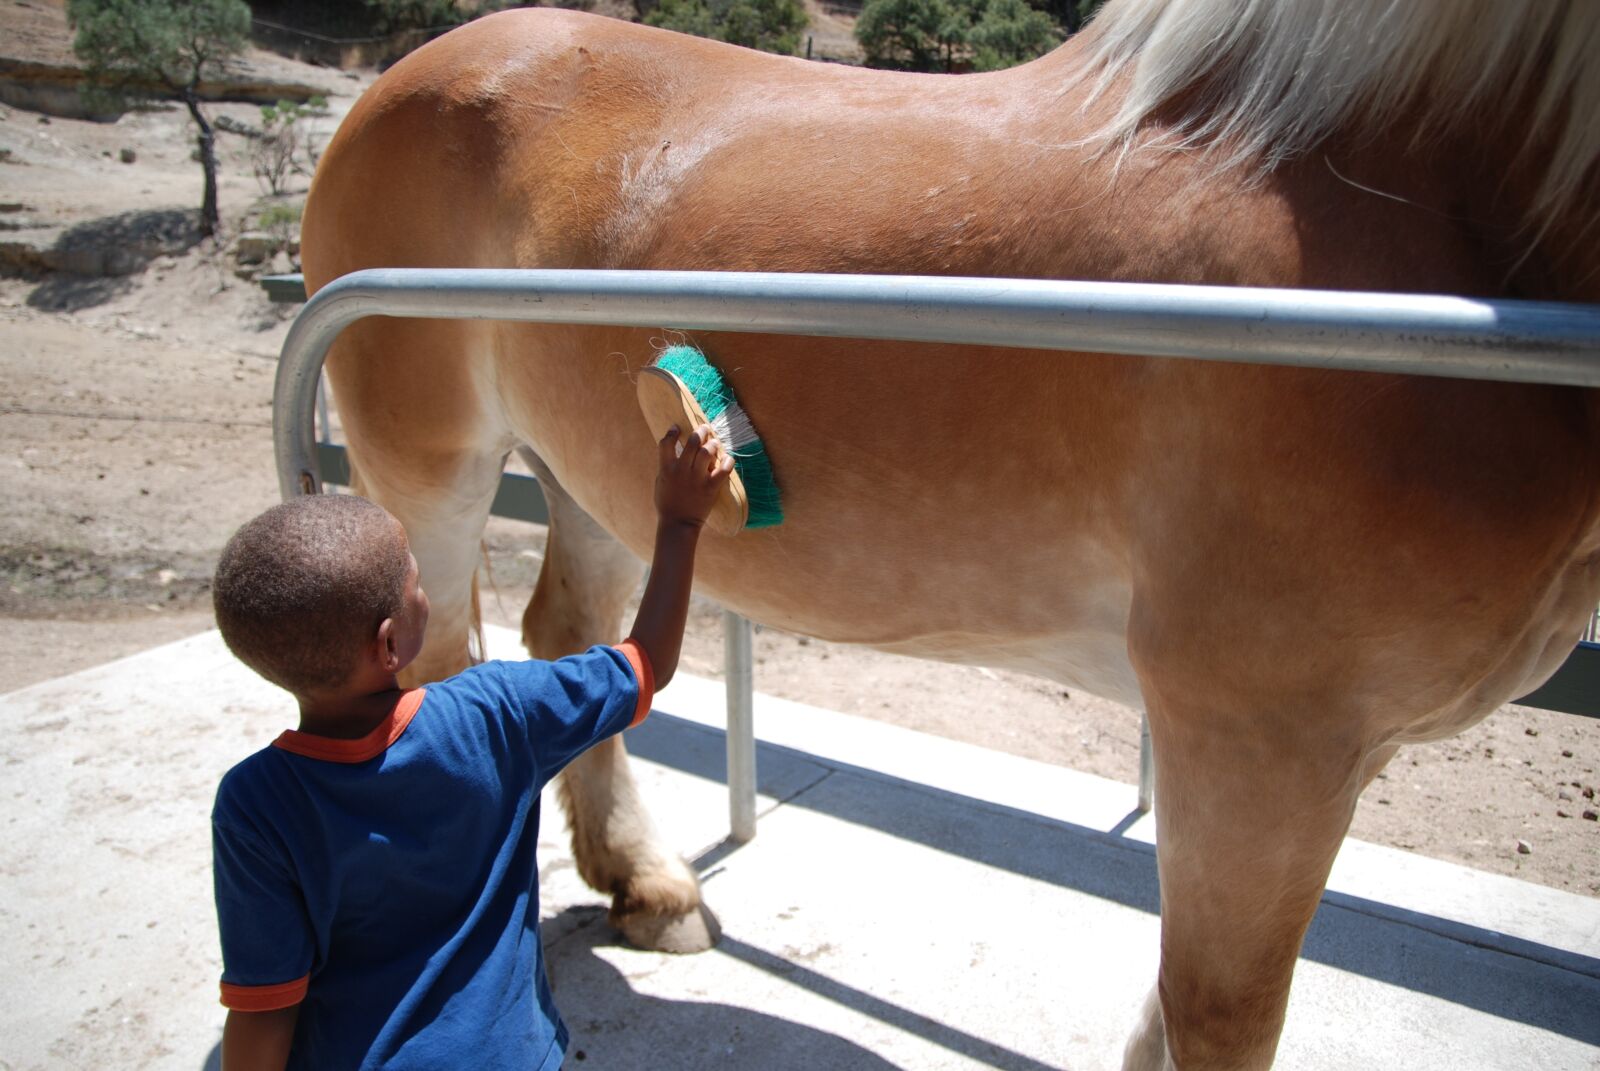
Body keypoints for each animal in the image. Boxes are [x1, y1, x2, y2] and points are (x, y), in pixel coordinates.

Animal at [302, 2, 1600, 1062]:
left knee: (572, 641)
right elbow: (1220, 1018)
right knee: (441, 670)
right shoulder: (1261, 742)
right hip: (432, 470)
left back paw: (648, 885)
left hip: (591, 471)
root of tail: (410, 71)